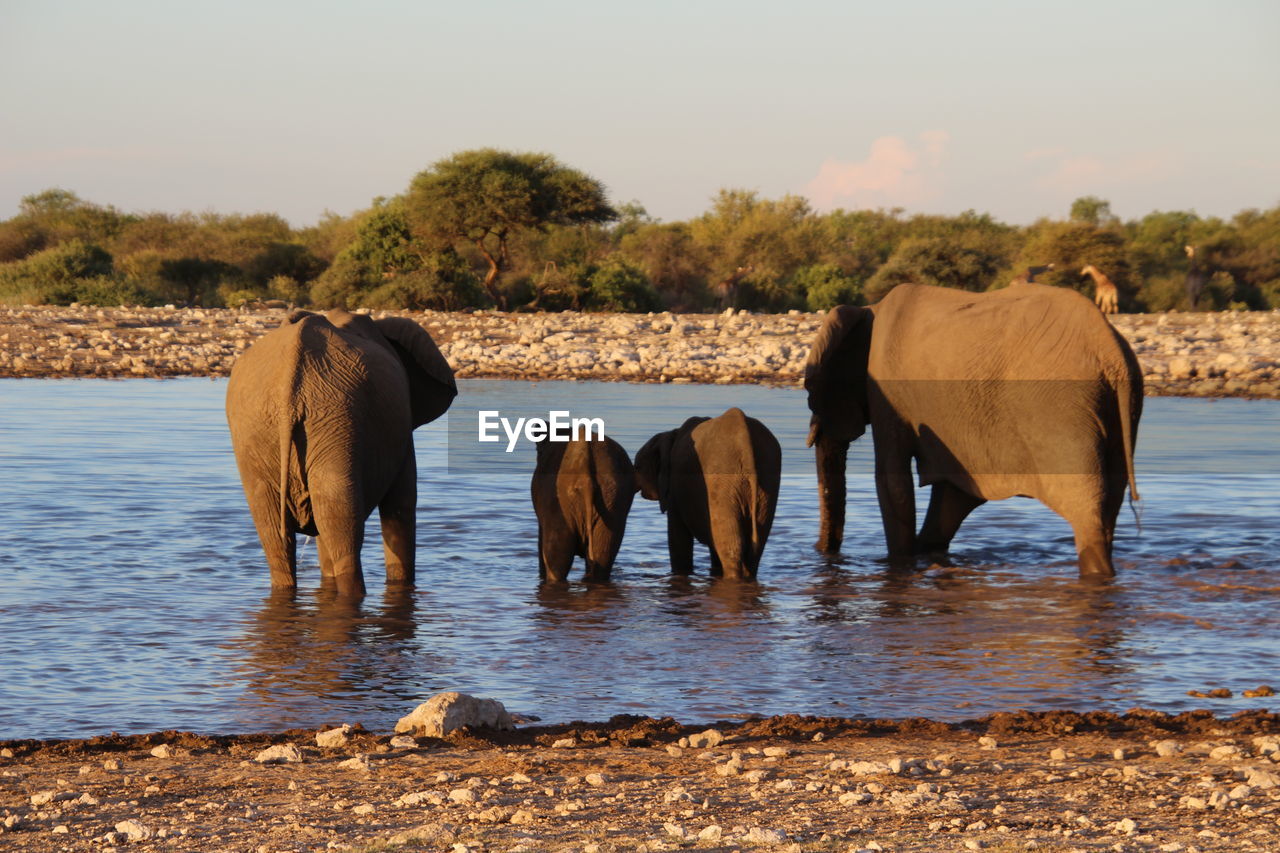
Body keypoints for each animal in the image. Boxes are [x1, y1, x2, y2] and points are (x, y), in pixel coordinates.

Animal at [227, 308, 458, 594]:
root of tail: (289, 382)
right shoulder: (402, 433)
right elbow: (401, 505)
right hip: (333, 415)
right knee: (342, 528)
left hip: (269, 427)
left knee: (285, 529)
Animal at [637, 404, 783, 578]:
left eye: (638, 467)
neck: (673, 433)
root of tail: (745, 443)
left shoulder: (674, 489)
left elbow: (678, 539)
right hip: (766, 486)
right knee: (755, 548)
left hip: (722, 486)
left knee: (730, 547)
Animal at [803, 280, 1146, 578]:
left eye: (809, 391)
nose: (823, 552)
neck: (868, 310)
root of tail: (1110, 351)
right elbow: (954, 494)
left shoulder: (886, 389)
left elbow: (893, 481)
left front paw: (900, 563)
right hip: (1117, 414)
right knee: (1109, 507)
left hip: (1062, 412)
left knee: (1086, 514)